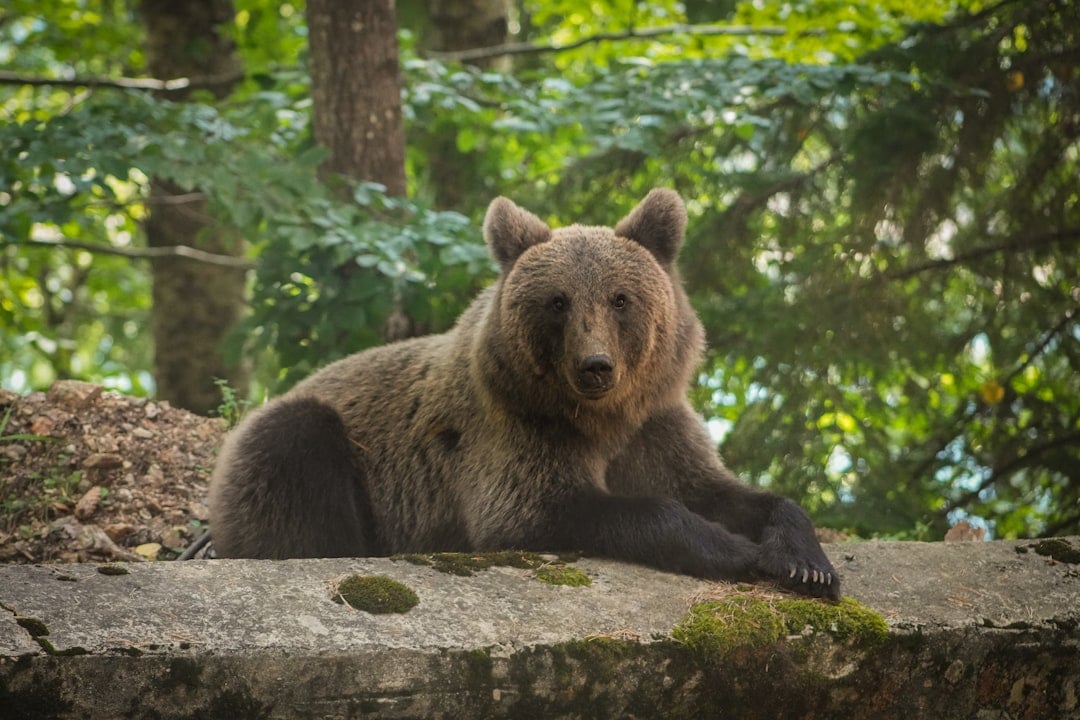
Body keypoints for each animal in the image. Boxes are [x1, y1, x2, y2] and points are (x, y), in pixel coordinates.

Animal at [208, 189, 839, 599]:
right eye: (557, 301)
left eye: (620, 298)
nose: (595, 366)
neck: (601, 418)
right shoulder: (514, 432)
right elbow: (548, 508)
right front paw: (734, 550)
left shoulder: (655, 428)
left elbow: (719, 489)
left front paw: (806, 563)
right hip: (311, 454)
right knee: (294, 450)